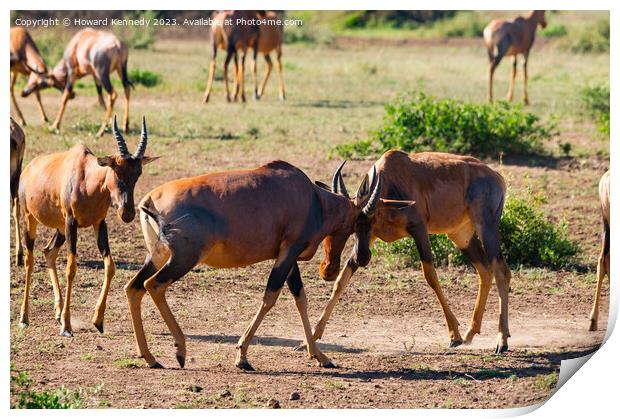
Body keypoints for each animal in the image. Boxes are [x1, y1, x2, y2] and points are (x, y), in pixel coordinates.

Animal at [19, 115, 157, 338]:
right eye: (116, 170)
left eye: (138, 174)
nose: (127, 213)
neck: (86, 176)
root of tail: (29, 168)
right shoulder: (71, 223)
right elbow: (71, 268)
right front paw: (66, 328)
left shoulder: (99, 223)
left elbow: (110, 266)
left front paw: (97, 321)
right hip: (30, 218)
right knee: (29, 260)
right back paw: (24, 318)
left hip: (60, 229)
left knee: (48, 252)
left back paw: (57, 312)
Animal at [312, 151, 512, 354]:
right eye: (352, 224)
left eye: (372, 218)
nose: (363, 258)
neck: (392, 178)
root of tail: (496, 177)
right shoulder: (370, 239)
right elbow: (341, 280)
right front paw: (313, 336)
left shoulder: (419, 229)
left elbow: (431, 276)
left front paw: (454, 336)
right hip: (461, 235)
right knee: (485, 270)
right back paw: (470, 333)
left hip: (486, 227)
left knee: (501, 271)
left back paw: (501, 342)